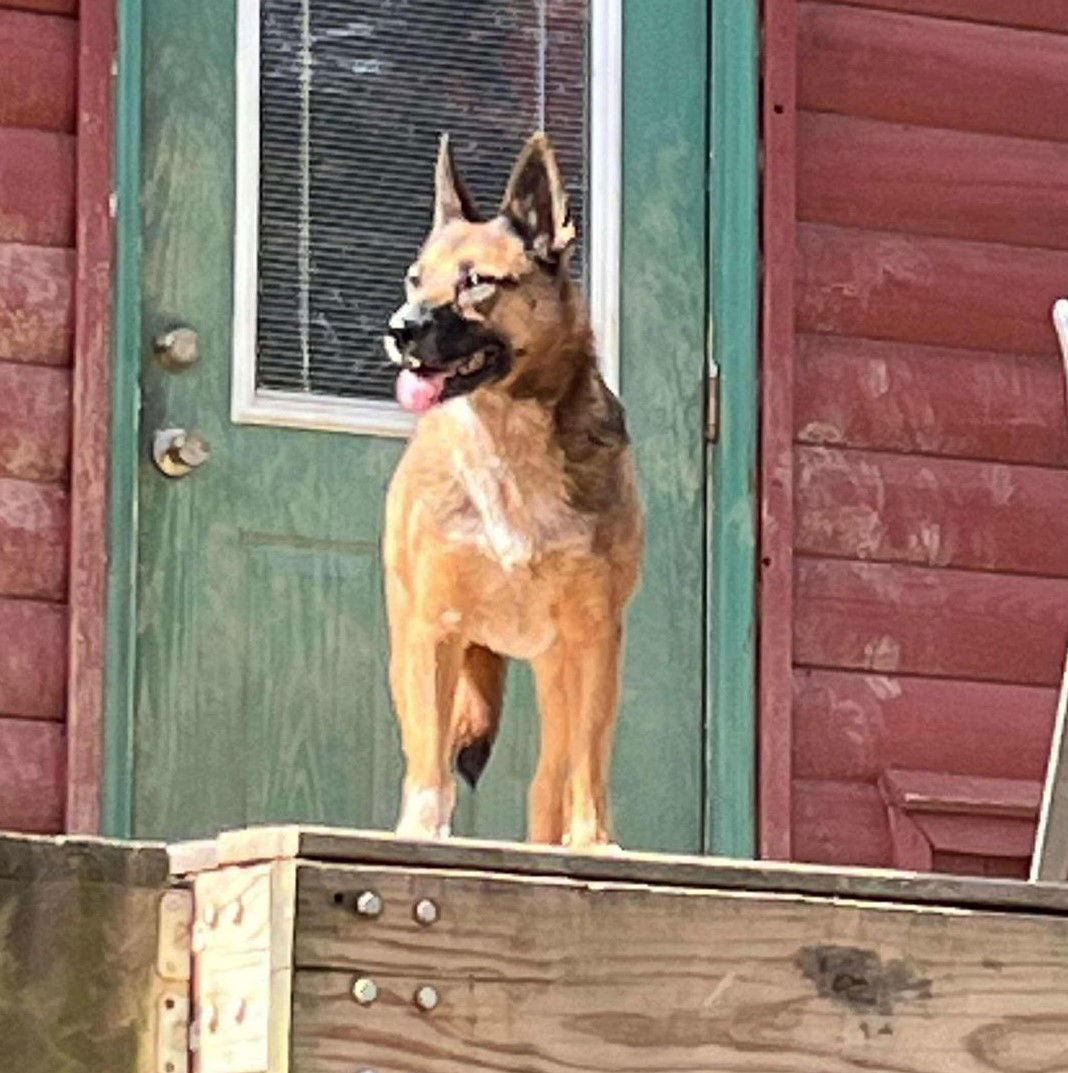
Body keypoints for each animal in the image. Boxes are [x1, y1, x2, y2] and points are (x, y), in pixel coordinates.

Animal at [382, 131, 644, 845]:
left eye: (476, 282)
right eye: (414, 277)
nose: (400, 328)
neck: (506, 435)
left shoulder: (594, 637)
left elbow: (586, 768)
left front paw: (594, 843)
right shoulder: (436, 631)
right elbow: (429, 764)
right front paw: (423, 834)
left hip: (560, 669)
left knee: (551, 778)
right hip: (408, 641)